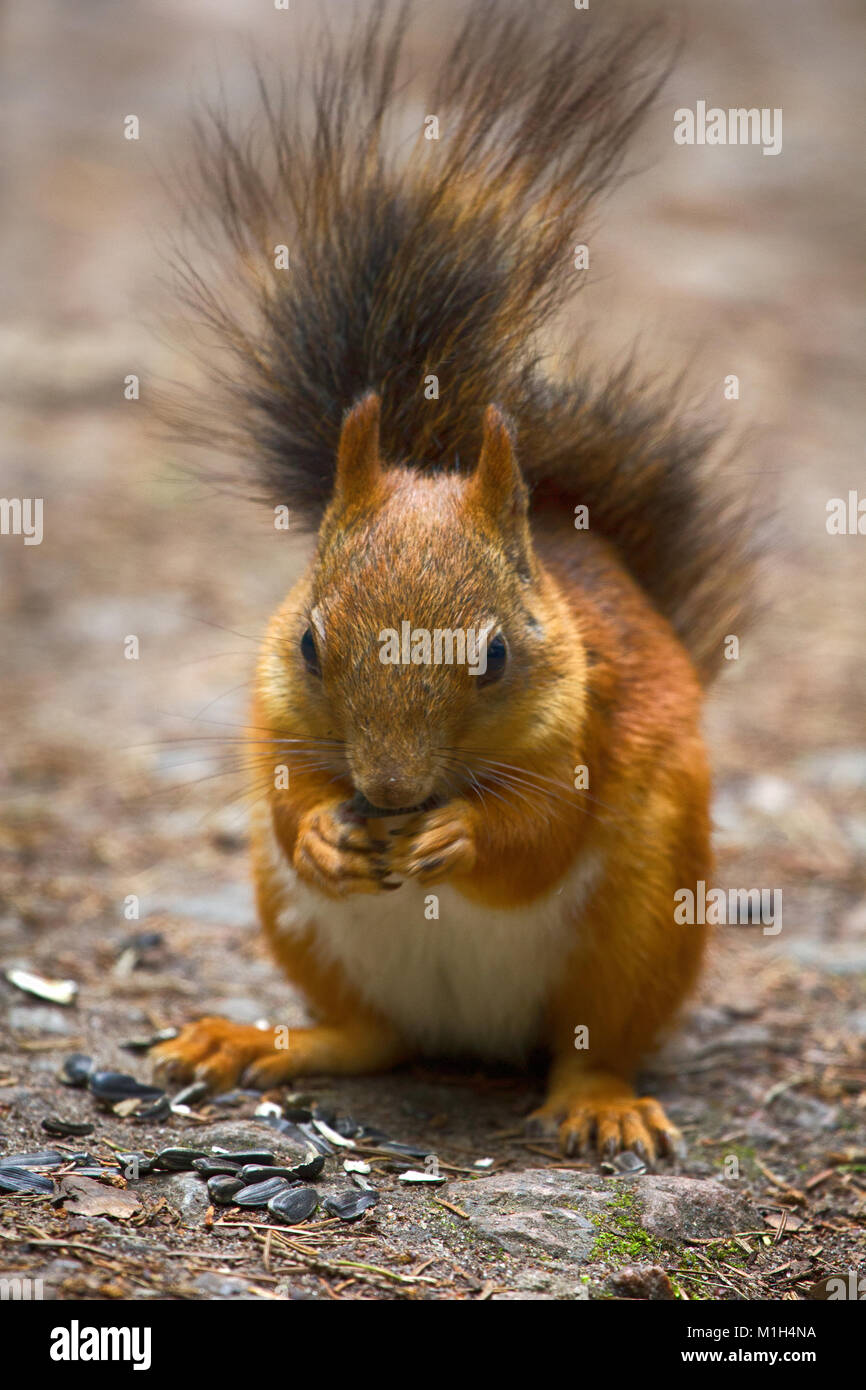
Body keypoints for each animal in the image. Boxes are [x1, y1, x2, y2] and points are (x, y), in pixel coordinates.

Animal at [152, 2, 756, 1162]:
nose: (388, 795)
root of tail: (469, 1040)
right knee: (366, 1037)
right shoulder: (271, 707)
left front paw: (459, 833)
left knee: (592, 1040)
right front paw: (325, 830)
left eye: (496, 655)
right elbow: (286, 795)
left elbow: (540, 834)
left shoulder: (587, 713)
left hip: (643, 916)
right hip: (305, 934)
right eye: (310, 643)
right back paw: (255, 1040)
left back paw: (599, 1101)